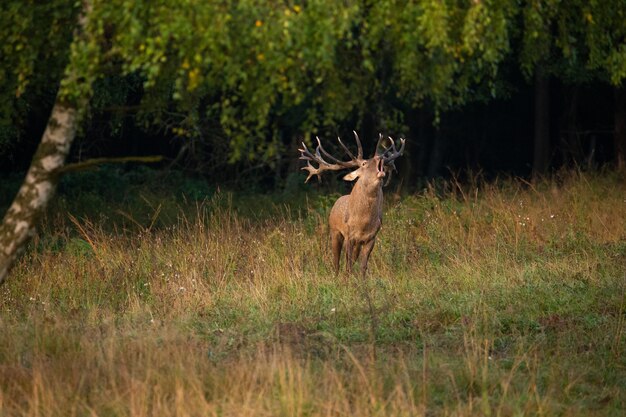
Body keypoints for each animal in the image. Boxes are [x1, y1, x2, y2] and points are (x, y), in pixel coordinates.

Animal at [298, 132, 404, 276]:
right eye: (364, 163)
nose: (380, 156)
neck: (363, 223)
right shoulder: (349, 235)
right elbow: (347, 265)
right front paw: (346, 279)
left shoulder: (371, 237)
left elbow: (363, 266)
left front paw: (361, 280)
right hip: (334, 231)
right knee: (336, 260)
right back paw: (336, 276)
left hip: (357, 243)